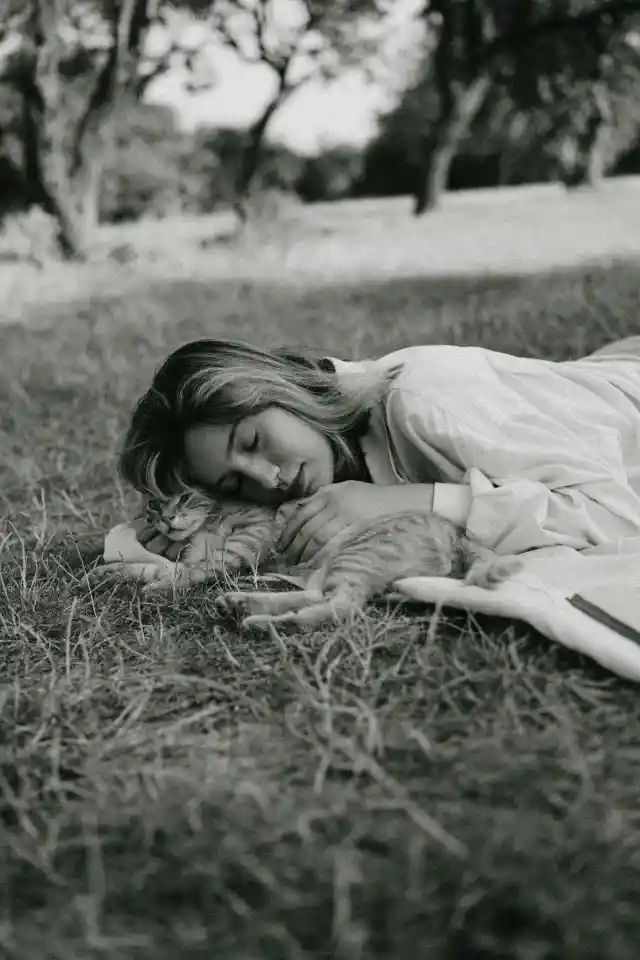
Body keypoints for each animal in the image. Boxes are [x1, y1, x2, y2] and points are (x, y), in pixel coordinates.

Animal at [143, 491, 521, 629]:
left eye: (185, 496)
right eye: (153, 503)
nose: (165, 518)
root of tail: (457, 532)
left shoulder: (243, 545)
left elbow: (196, 568)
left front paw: (157, 584)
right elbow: (189, 563)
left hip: (356, 552)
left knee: (342, 606)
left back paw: (264, 622)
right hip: (336, 561)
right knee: (316, 597)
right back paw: (241, 605)